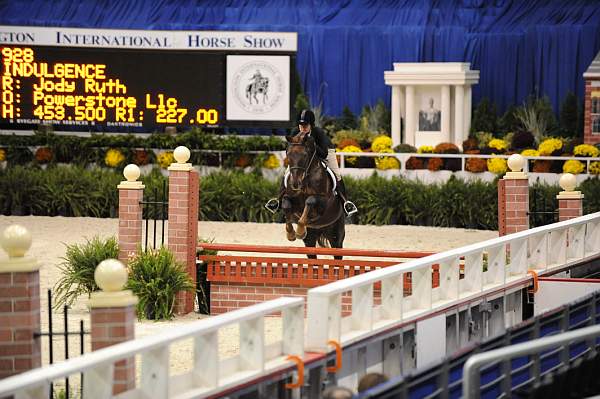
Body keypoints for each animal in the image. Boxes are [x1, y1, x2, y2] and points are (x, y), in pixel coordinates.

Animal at [282, 130, 344, 260]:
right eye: (288, 154)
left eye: (305, 155)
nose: (295, 183)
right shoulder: (290, 198)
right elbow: (286, 205)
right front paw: (291, 234)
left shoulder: (323, 200)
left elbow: (310, 200)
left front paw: (300, 231)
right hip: (310, 239)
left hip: (336, 235)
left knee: (338, 253)